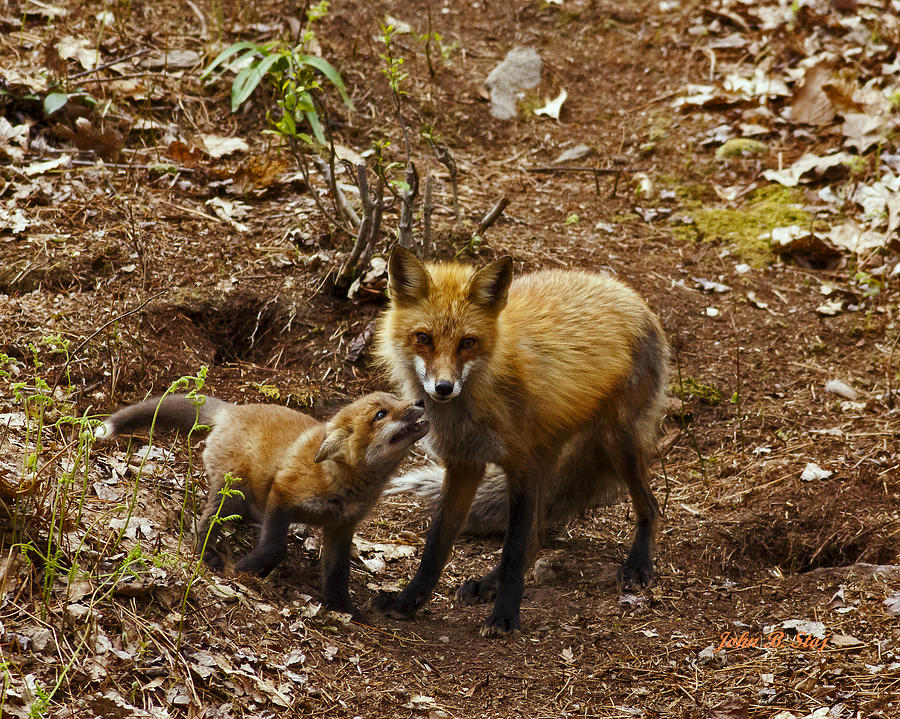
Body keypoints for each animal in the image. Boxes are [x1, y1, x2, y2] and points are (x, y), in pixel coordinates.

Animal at [98, 390, 428, 616]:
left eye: (397, 399)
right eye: (381, 415)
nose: (421, 401)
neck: (340, 483)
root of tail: (233, 410)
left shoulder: (342, 526)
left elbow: (338, 572)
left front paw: (342, 608)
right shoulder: (281, 495)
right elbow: (275, 546)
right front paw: (247, 568)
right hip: (233, 492)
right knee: (204, 523)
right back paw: (208, 554)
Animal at [368, 248, 668, 636]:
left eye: (468, 343)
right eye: (424, 338)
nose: (443, 388)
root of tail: (630, 293)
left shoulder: (521, 466)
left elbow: (512, 551)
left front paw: (505, 616)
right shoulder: (465, 464)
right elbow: (437, 544)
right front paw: (408, 601)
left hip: (617, 441)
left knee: (651, 505)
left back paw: (638, 564)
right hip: (551, 454)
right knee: (538, 537)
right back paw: (487, 583)